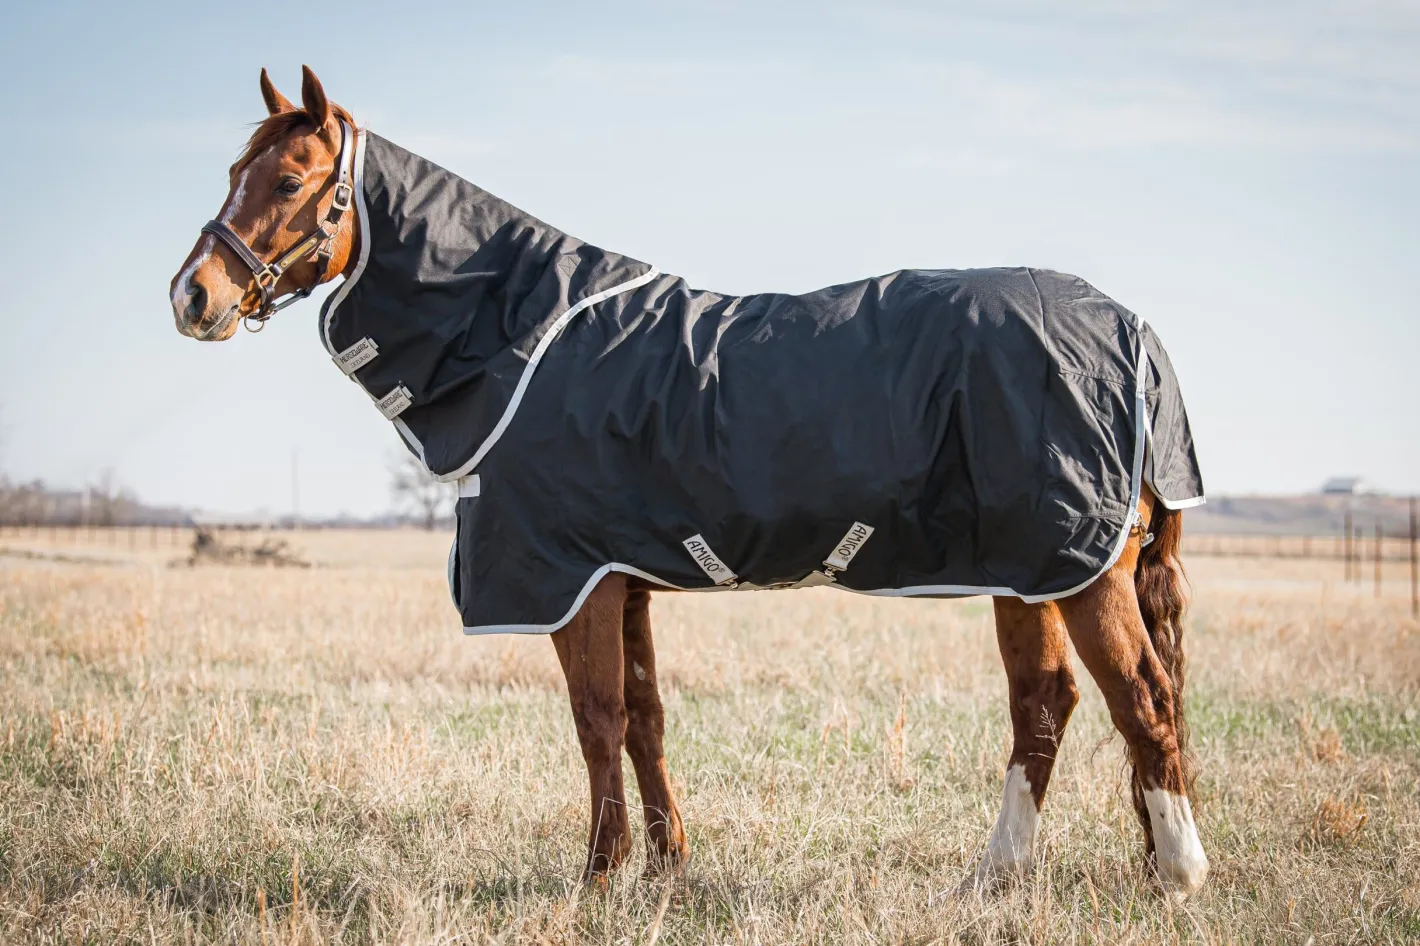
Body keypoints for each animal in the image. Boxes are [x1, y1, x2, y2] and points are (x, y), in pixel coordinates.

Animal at [169, 66, 1209, 898]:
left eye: (290, 180)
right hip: (1028, 572)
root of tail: (1134, 332)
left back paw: (1178, 873)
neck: (523, 335)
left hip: (1078, 567)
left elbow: (596, 720)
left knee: (1141, 699)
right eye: (232, 176)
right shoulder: (622, 579)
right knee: (1048, 705)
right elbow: (646, 719)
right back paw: (993, 877)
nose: (192, 296)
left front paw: (597, 876)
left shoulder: (573, 582)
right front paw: (667, 868)